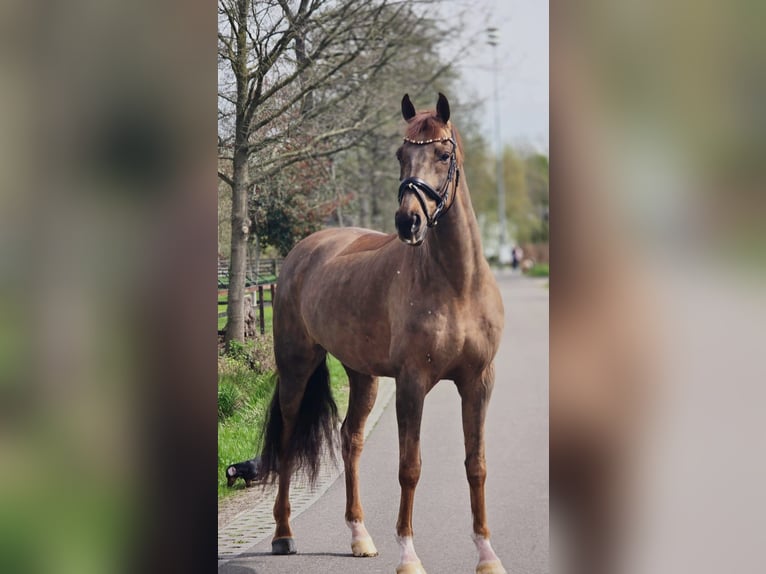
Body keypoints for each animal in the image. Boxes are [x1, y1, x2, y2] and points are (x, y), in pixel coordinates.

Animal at [257, 93, 507, 574]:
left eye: (443, 154)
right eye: (400, 154)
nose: (408, 222)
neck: (457, 285)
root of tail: (304, 250)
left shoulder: (478, 382)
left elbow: (478, 464)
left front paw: (487, 555)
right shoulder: (412, 384)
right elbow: (410, 467)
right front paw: (408, 556)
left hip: (363, 376)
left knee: (349, 439)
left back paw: (360, 536)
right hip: (296, 368)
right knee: (287, 440)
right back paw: (282, 534)